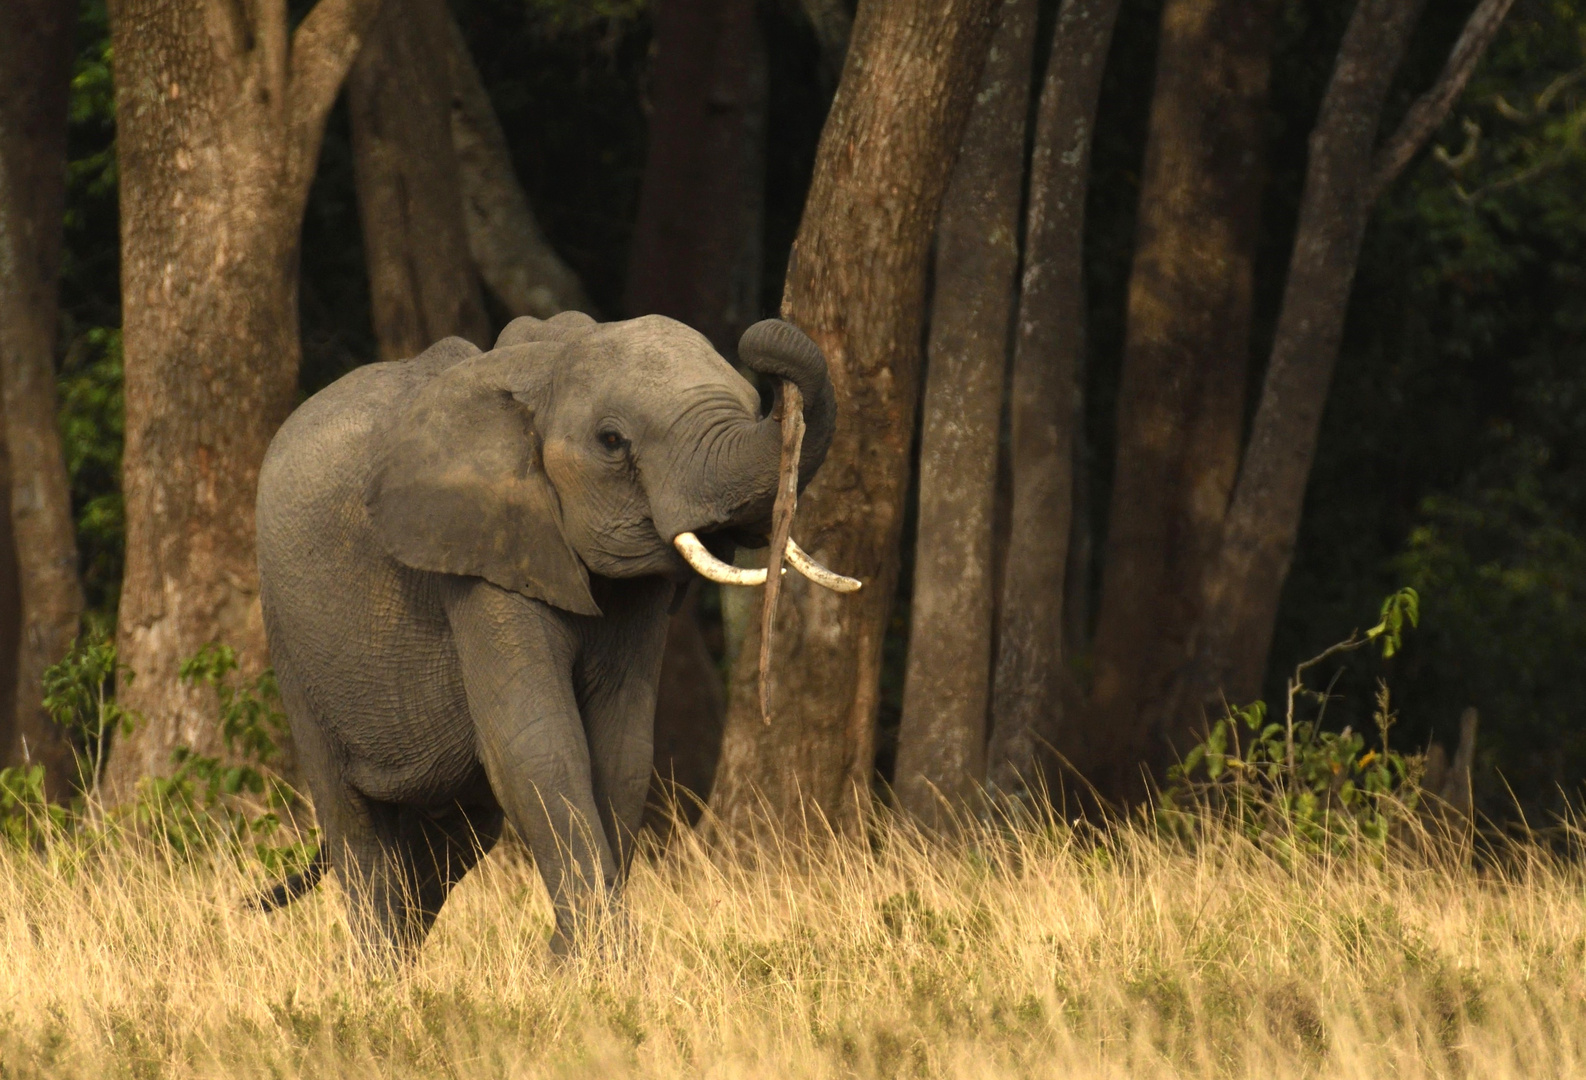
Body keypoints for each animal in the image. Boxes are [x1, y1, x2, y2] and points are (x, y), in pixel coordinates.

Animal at [256, 312, 856, 951]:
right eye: (612, 441)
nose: (766, 342)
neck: (544, 371)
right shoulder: (481, 553)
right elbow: (537, 745)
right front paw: (595, 960)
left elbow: (621, 751)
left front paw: (591, 957)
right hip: (291, 640)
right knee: (354, 820)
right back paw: (374, 966)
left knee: (455, 835)